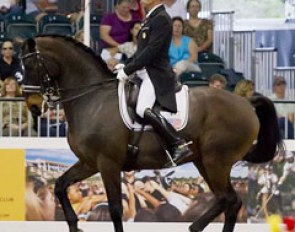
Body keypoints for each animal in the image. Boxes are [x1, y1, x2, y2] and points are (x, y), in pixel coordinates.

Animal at [20, 35, 284, 232]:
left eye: (31, 65)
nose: (32, 106)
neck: (92, 99)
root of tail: (246, 102)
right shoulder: (89, 162)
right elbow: (60, 186)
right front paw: (75, 225)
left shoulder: (107, 163)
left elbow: (115, 209)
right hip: (204, 162)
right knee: (227, 200)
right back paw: (194, 227)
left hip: (216, 161)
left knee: (230, 200)